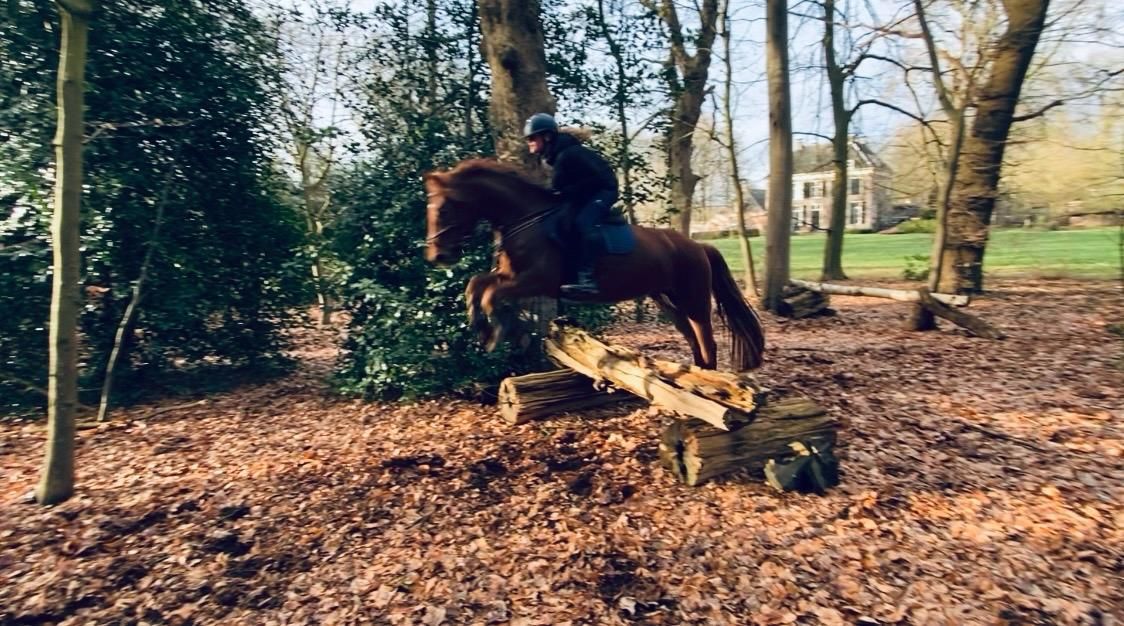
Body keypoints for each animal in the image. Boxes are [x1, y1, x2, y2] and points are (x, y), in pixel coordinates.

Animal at [423, 158, 765, 371]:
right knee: (693, 340)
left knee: (707, 342)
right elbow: (476, 285)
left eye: (443, 210)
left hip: (694, 300)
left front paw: (497, 333)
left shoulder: (537, 279)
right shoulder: (510, 274)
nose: (437, 256)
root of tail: (698, 245)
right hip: (668, 302)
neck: (525, 218)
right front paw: (481, 328)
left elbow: (491, 294)